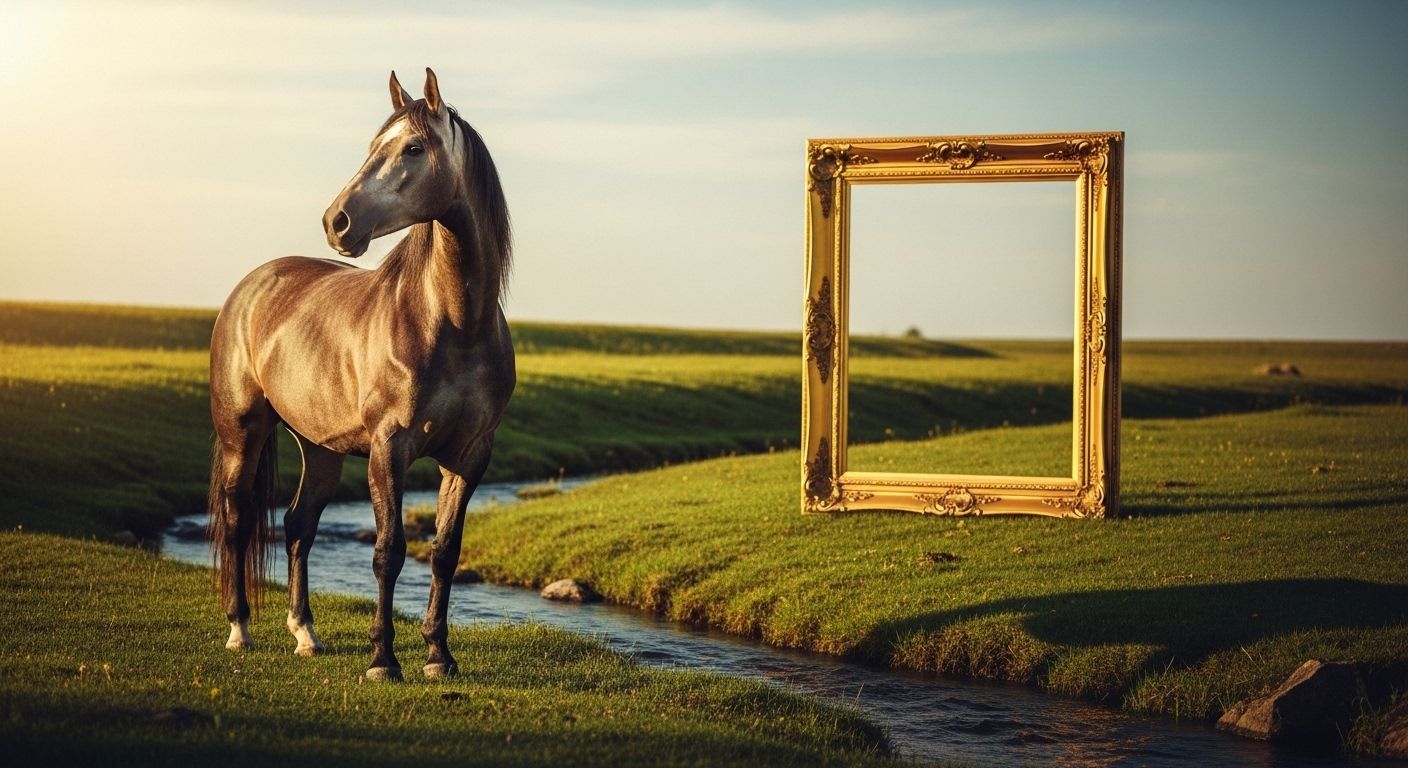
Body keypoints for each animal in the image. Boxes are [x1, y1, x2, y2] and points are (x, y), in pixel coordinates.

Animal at [207, 68, 514, 681]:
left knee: (298, 526)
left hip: (319, 448)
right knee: (239, 521)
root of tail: (251, 287)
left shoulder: (470, 454)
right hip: (241, 434)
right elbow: (388, 552)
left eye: (414, 147)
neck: (453, 323)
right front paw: (382, 659)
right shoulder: (388, 448)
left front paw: (439, 656)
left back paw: (305, 634)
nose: (337, 222)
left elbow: (444, 553)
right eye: (374, 146)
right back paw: (240, 630)